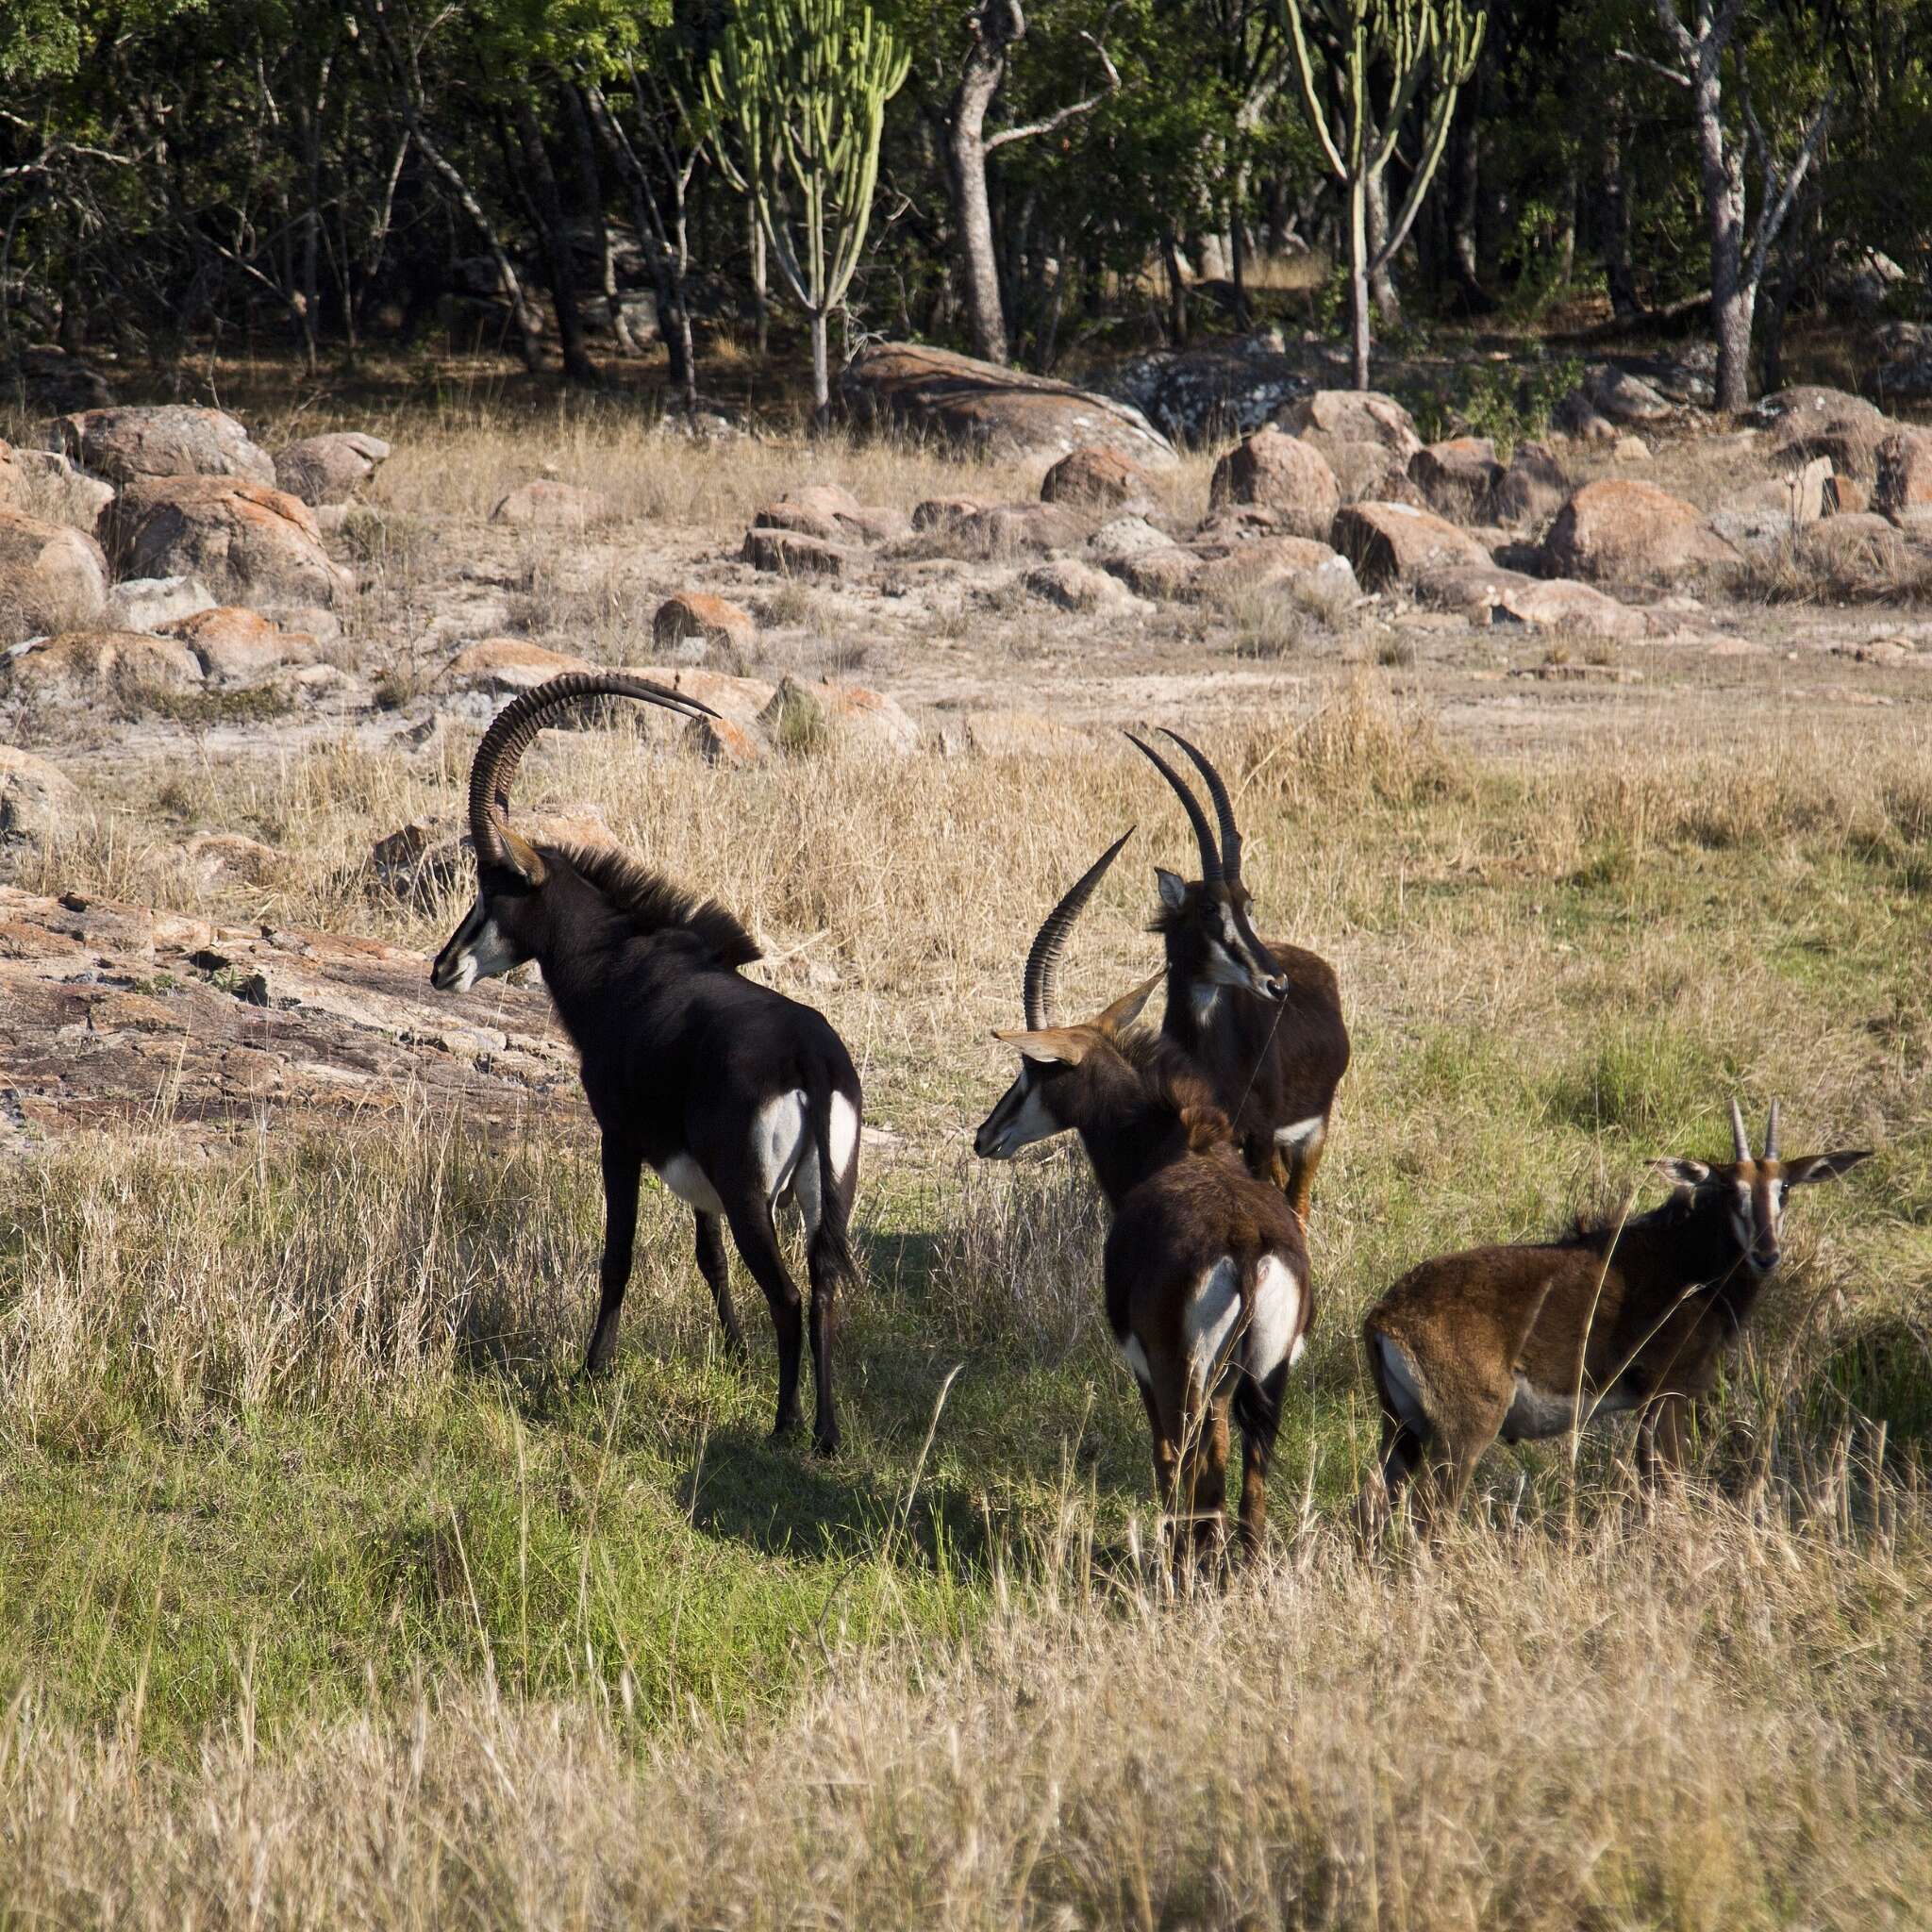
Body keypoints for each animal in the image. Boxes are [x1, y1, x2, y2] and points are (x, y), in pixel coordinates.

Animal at [438, 672, 869, 1453]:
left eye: (491, 888)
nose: (442, 967)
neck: (617, 962)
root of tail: (812, 1063)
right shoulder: (695, 1173)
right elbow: (709, 1257)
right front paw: (733, 1352)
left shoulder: (620, 1138)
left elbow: (618, 1256)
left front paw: (589, 1372)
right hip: (824, 1193)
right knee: (822, 1287)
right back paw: (824, 1434)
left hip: (751, 1194)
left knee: (789, 1294)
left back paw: (784, 1425)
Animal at [974, 830, 1321, 1568]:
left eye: (1035, 1066)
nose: (987, 1136)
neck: (1175, 1149)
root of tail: (1248, 1249)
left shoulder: (1142, 1368)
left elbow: (1165, 1459)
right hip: (1268, 1378)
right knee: (1249, 1489)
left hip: (1186, 1376)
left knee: (1195, 1464)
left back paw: (1188, 1564)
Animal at [1128, 726, 1352, 1221]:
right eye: (1210, 909)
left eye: (1248, 903)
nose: (1277, 983)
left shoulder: (1261, 1134)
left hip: (1312, 1131)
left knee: (1297, 1204)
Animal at [1359, 1097, 1870, 1530]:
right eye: (1729, 1188)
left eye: (1784, 1189)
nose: (1766, 1255)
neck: (1689, 1258)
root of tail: (1386, 1314)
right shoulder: (1667, 1393)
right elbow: (1668, 1487)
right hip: (1464, 1433)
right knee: (1432, 1515)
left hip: (1401, 1429)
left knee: (1374, 1504)